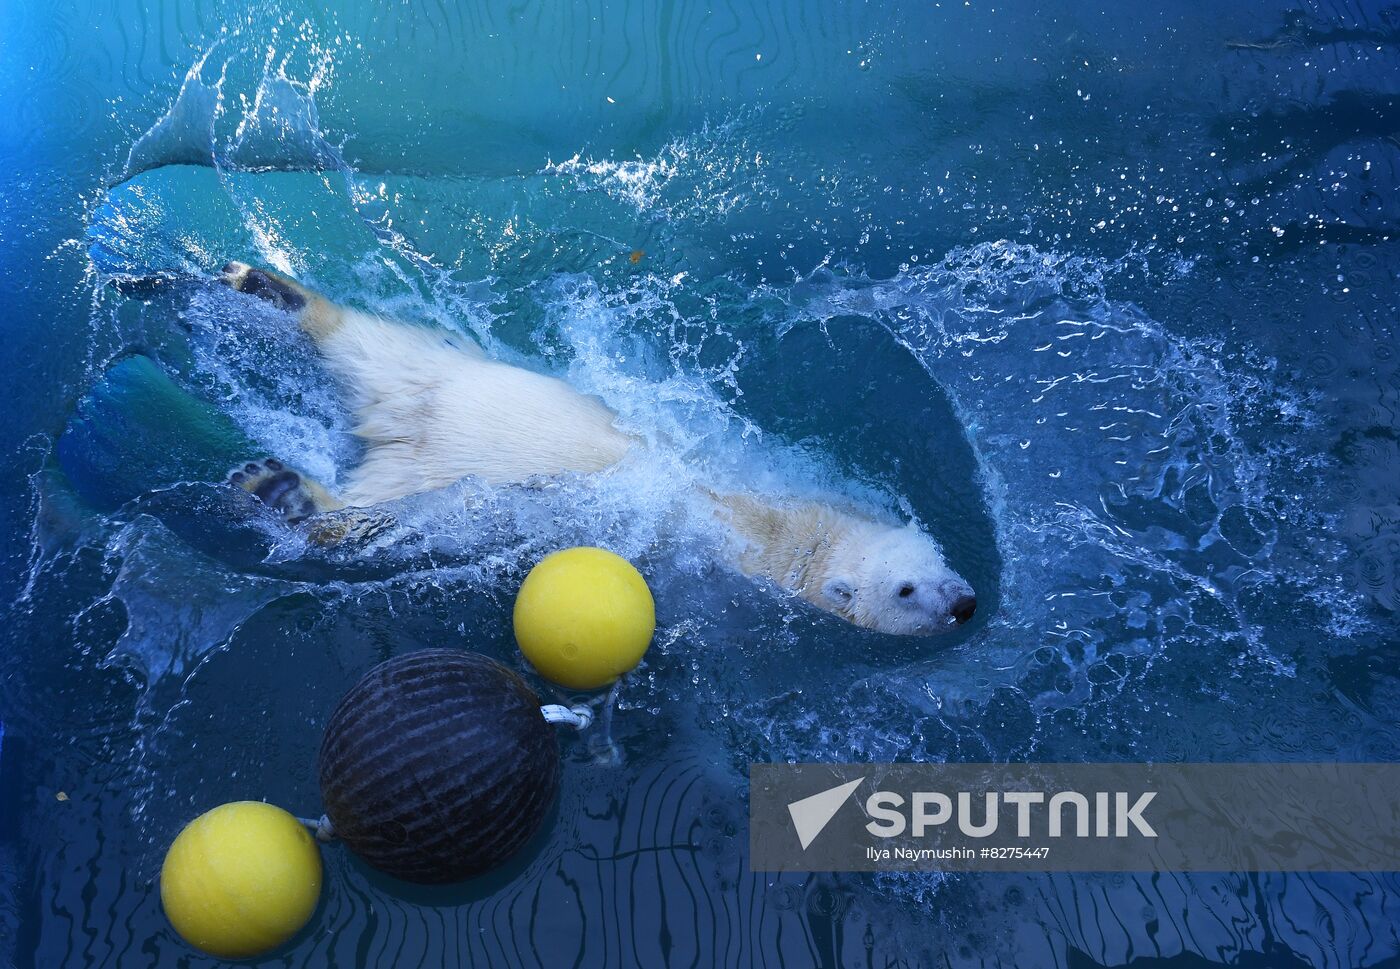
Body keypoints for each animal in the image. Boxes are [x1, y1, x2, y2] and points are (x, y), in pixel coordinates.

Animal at [217, 261, 977, 636]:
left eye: (935, 558)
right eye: (906, 591)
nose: (966, 602)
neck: (784, 531)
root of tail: (393, 427)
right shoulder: (711, 575)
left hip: (425, 376)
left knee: (360, 344)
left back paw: (267, 294)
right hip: (441, 475)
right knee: (378, 519)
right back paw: (282, 489)